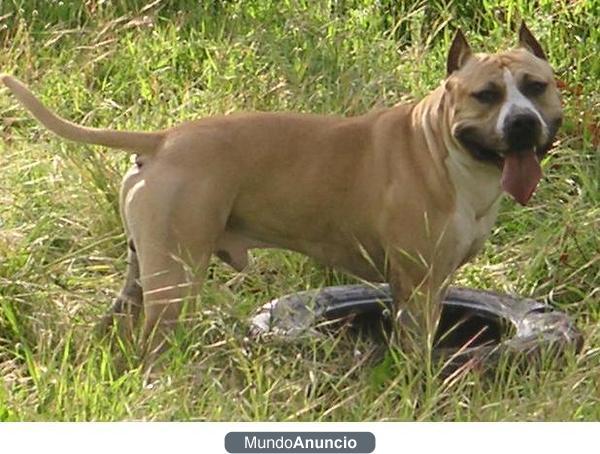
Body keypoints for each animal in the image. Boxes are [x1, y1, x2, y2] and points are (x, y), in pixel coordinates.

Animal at [1, 24, 564, 366]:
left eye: (536, 87)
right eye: (486, 95)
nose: (521, 123)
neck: (443, 147)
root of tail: (163, 140)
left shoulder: (433, 284)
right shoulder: (418, 286)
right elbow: (416, 354)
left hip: (143, 275)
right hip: (175, 279)